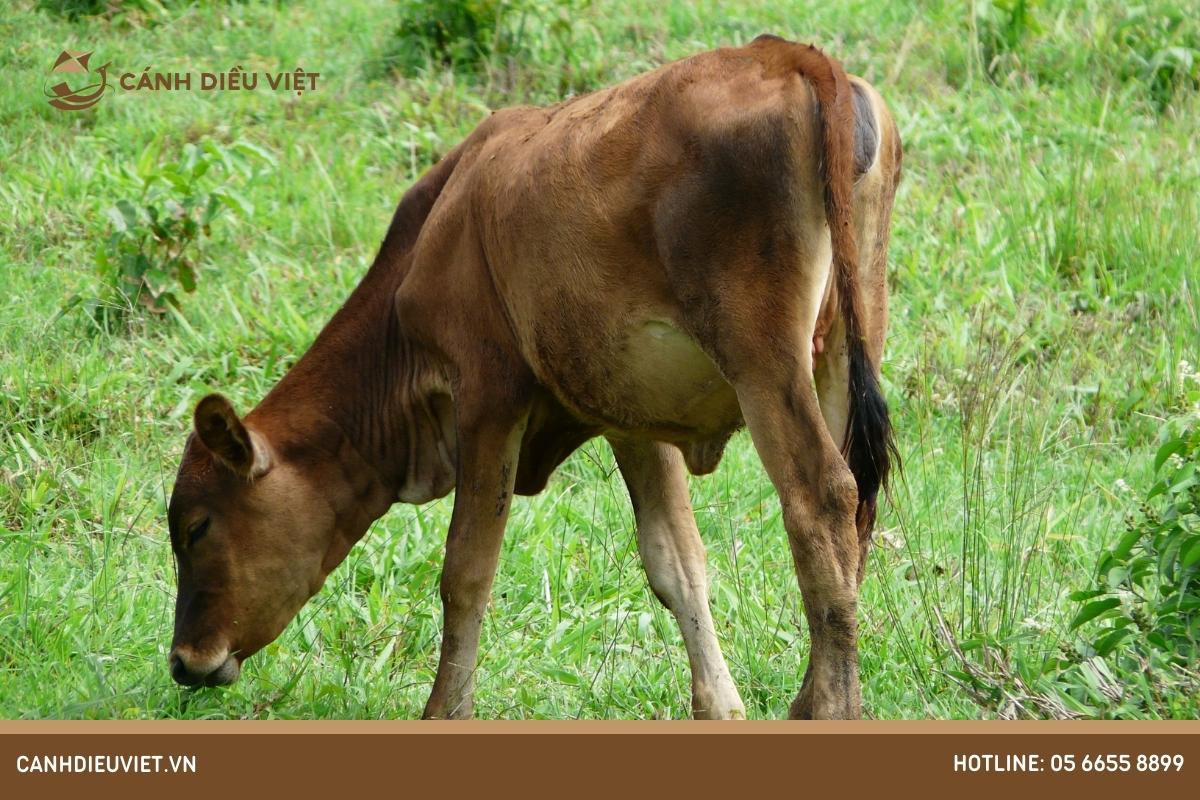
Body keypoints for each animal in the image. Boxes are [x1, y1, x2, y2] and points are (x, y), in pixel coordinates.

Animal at [166, 35, 902, 719]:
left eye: (197, 528)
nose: (183, 661)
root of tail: (790, 57)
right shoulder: (632, 418)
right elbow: (677, 564)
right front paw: (717, 704)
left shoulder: (488, 395)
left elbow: (465, 571)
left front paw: (445, 709)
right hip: (845, 339)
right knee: (857, 506)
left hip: (763, 358)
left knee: (822, 498)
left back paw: (832, 707)